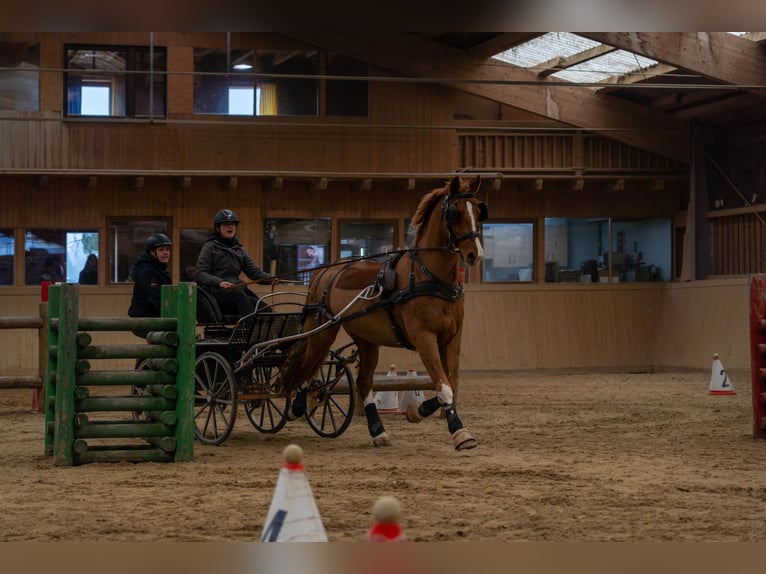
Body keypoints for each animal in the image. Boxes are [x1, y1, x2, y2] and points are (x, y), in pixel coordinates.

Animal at [284, 173, 488, 452]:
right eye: (454, 213)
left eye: (479, 210)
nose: (474, 255)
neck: (428, 276)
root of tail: (323, 272)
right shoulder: (424, 338)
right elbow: (444, 387)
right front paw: (459, 432)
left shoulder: (449, 338)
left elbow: (446, 384)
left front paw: (415, 412)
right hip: (322, 332)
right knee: (306, 366)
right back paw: (299, 405)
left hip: (366, 339)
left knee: (362, 382)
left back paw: (377, 430)